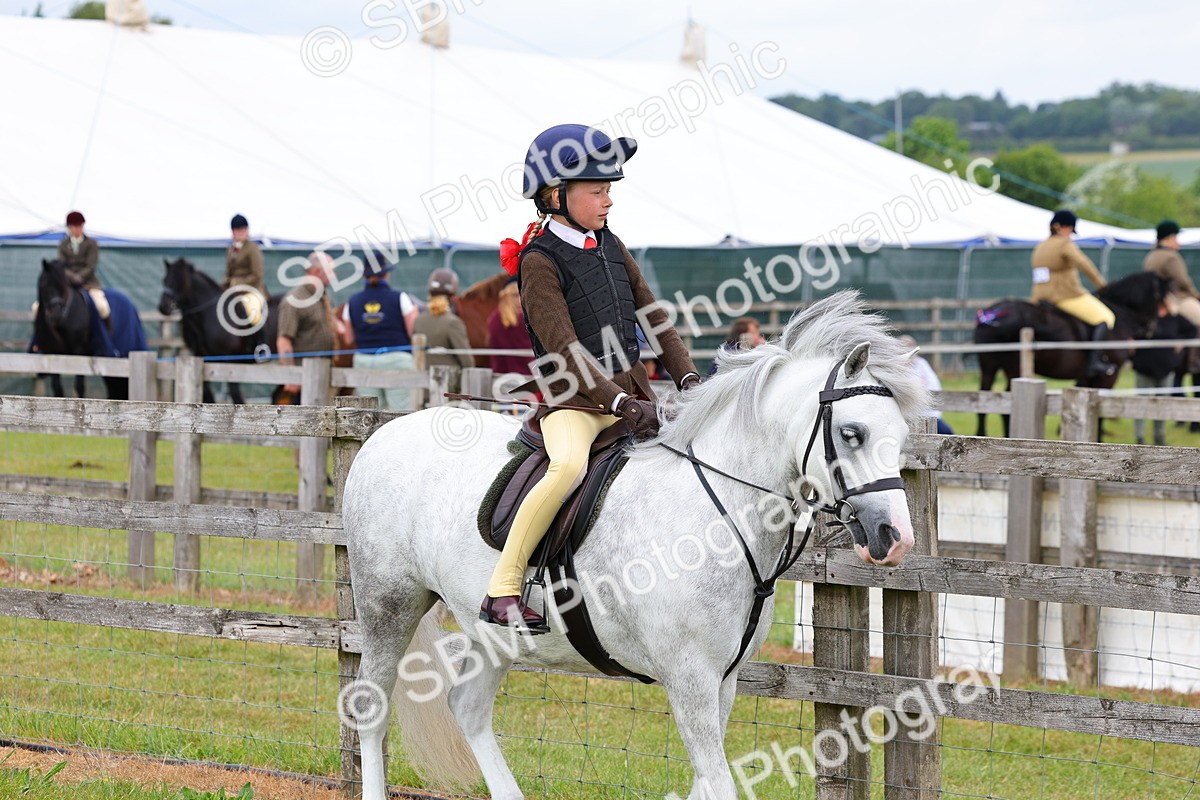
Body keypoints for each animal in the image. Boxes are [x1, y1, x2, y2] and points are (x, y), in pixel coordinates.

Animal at [32, 259, 145, 399]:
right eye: (44, 285)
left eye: (64, 286)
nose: (55, 314)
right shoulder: (52, 353)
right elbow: (57, 388)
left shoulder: (80, 352)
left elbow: (79, 386)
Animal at [159, 257, 281, 404]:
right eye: (164, 280)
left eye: (178, 280)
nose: (163, 307)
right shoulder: (203, 356)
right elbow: (207, 393)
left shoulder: (230, 360)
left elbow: (235, 395)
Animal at [340, 291, 930, 800]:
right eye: (851, 433)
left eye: (900, 437)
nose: (894, 538)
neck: (716, 514)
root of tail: (382, 434)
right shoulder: (689, 678)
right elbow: (717, 783)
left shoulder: (722, 680)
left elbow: (704, 784)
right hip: (388, 603)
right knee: (371, 705)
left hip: (492, 630)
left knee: (467, 706)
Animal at [973, 271, 1170, 436]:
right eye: (1160, 298)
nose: (1152, 328)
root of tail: (992, 315)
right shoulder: (1108, 376)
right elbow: (1100, 413)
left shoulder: (1086, 376)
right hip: (1013, 367)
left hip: (989, 365)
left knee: (985, 399)